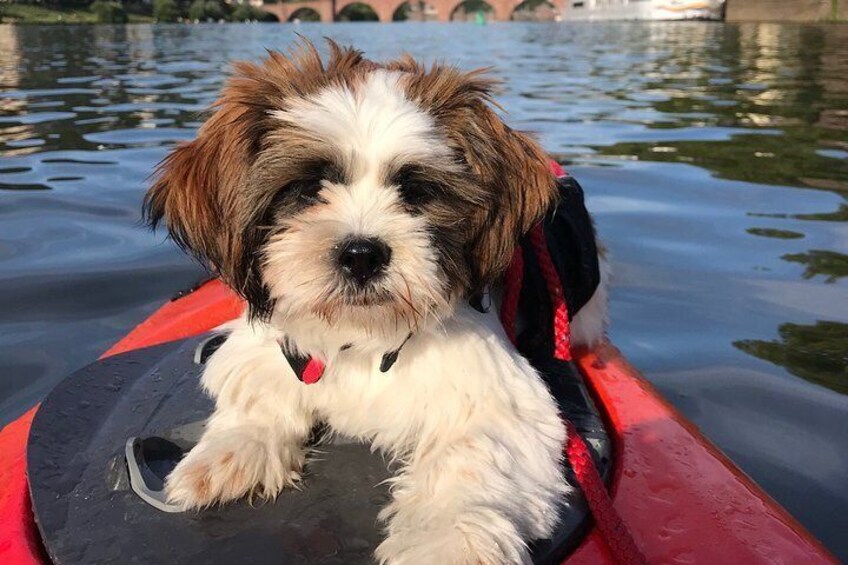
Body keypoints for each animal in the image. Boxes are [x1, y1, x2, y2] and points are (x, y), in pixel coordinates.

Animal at [147, 40, 608, 564]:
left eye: (417, 190)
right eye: (307, 188)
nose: (361, 254)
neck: (363, 336)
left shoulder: (499, 399)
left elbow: (471, 458)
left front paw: (447, 542)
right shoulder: (270, 349)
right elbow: (259, 387)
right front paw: (233, 450)